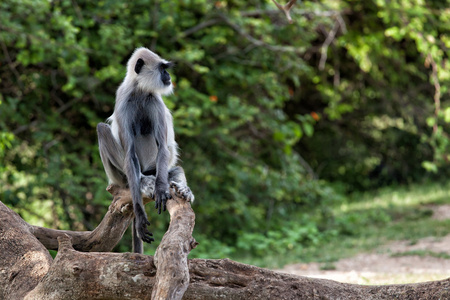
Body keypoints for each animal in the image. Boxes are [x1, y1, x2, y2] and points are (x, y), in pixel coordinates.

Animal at [96, 47, 195, 253]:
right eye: (162, 69)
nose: (168, 76)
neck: (140, 90)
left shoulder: (154, 100)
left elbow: (163, 147)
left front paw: (161, 188)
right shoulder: (123, 102)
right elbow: (129, 154)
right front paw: (140, 215)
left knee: (174, 167)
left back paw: (181, 188)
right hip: (117, 177)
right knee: (102, 128)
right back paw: (141, 181)